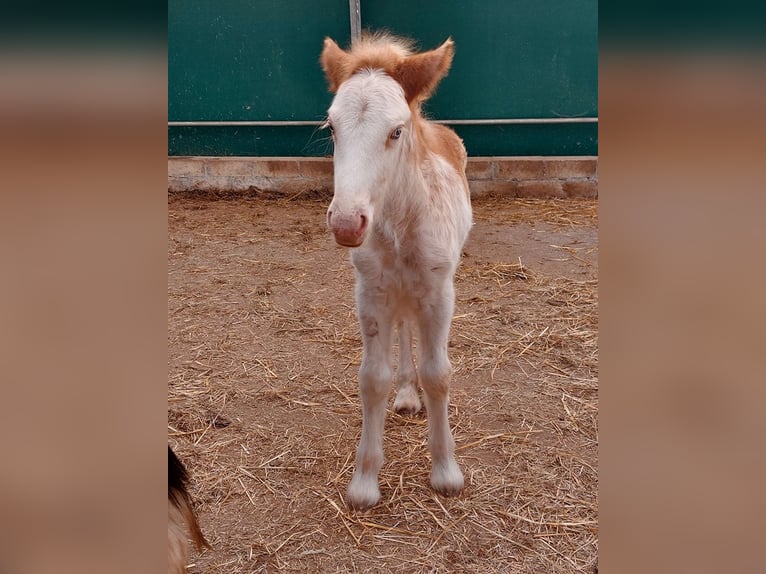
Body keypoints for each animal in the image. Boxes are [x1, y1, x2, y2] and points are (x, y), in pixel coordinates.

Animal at [320, 33, 474, 510]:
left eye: (396, 131)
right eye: (331, 128)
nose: (346, 223)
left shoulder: (440, 293)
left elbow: (438, 374)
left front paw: (446, 472)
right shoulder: (371, 293)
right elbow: (372, 379)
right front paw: (364, 481)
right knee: (405, 330)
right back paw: (406, 394)